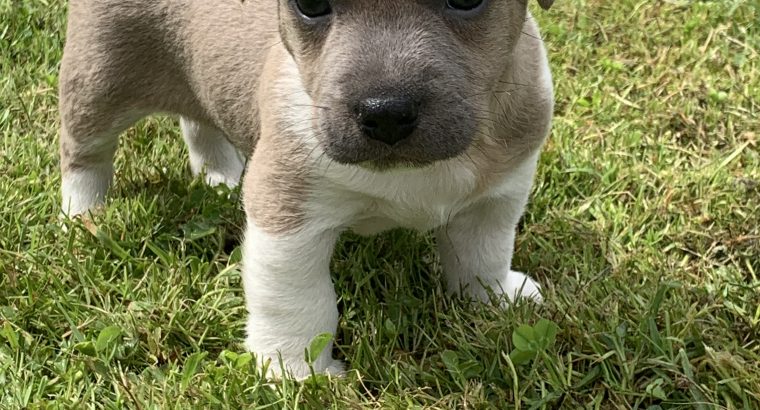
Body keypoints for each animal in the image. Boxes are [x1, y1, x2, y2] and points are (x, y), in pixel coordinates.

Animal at [59, 0, 556, 378]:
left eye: (466, 0)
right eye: (311, 6)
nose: (385, 113)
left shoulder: (495, 200)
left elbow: (483, 256)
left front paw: (493, 299)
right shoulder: (288, 218)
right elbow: (299, 301)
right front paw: (296, 371)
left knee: (199, 122)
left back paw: (217, 177)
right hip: (97, 85)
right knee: (84, 157)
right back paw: (83, 218)